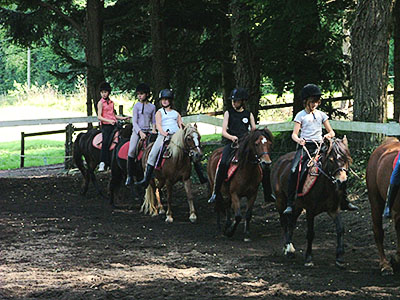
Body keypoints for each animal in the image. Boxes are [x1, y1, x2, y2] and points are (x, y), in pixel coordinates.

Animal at [272, 137, 350, 268]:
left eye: (347, 160)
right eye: (331, 160)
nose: (342, 182)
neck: (324, 186)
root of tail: (280, 160)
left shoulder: (333, 209)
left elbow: (340, 229)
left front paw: (340, 257)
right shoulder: (310, 210)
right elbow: (310, 233)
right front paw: (308, 258)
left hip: (297, 206)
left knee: (291, 223)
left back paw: (290, 248)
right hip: (280, 201)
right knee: (284, 223)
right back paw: (287, 249)